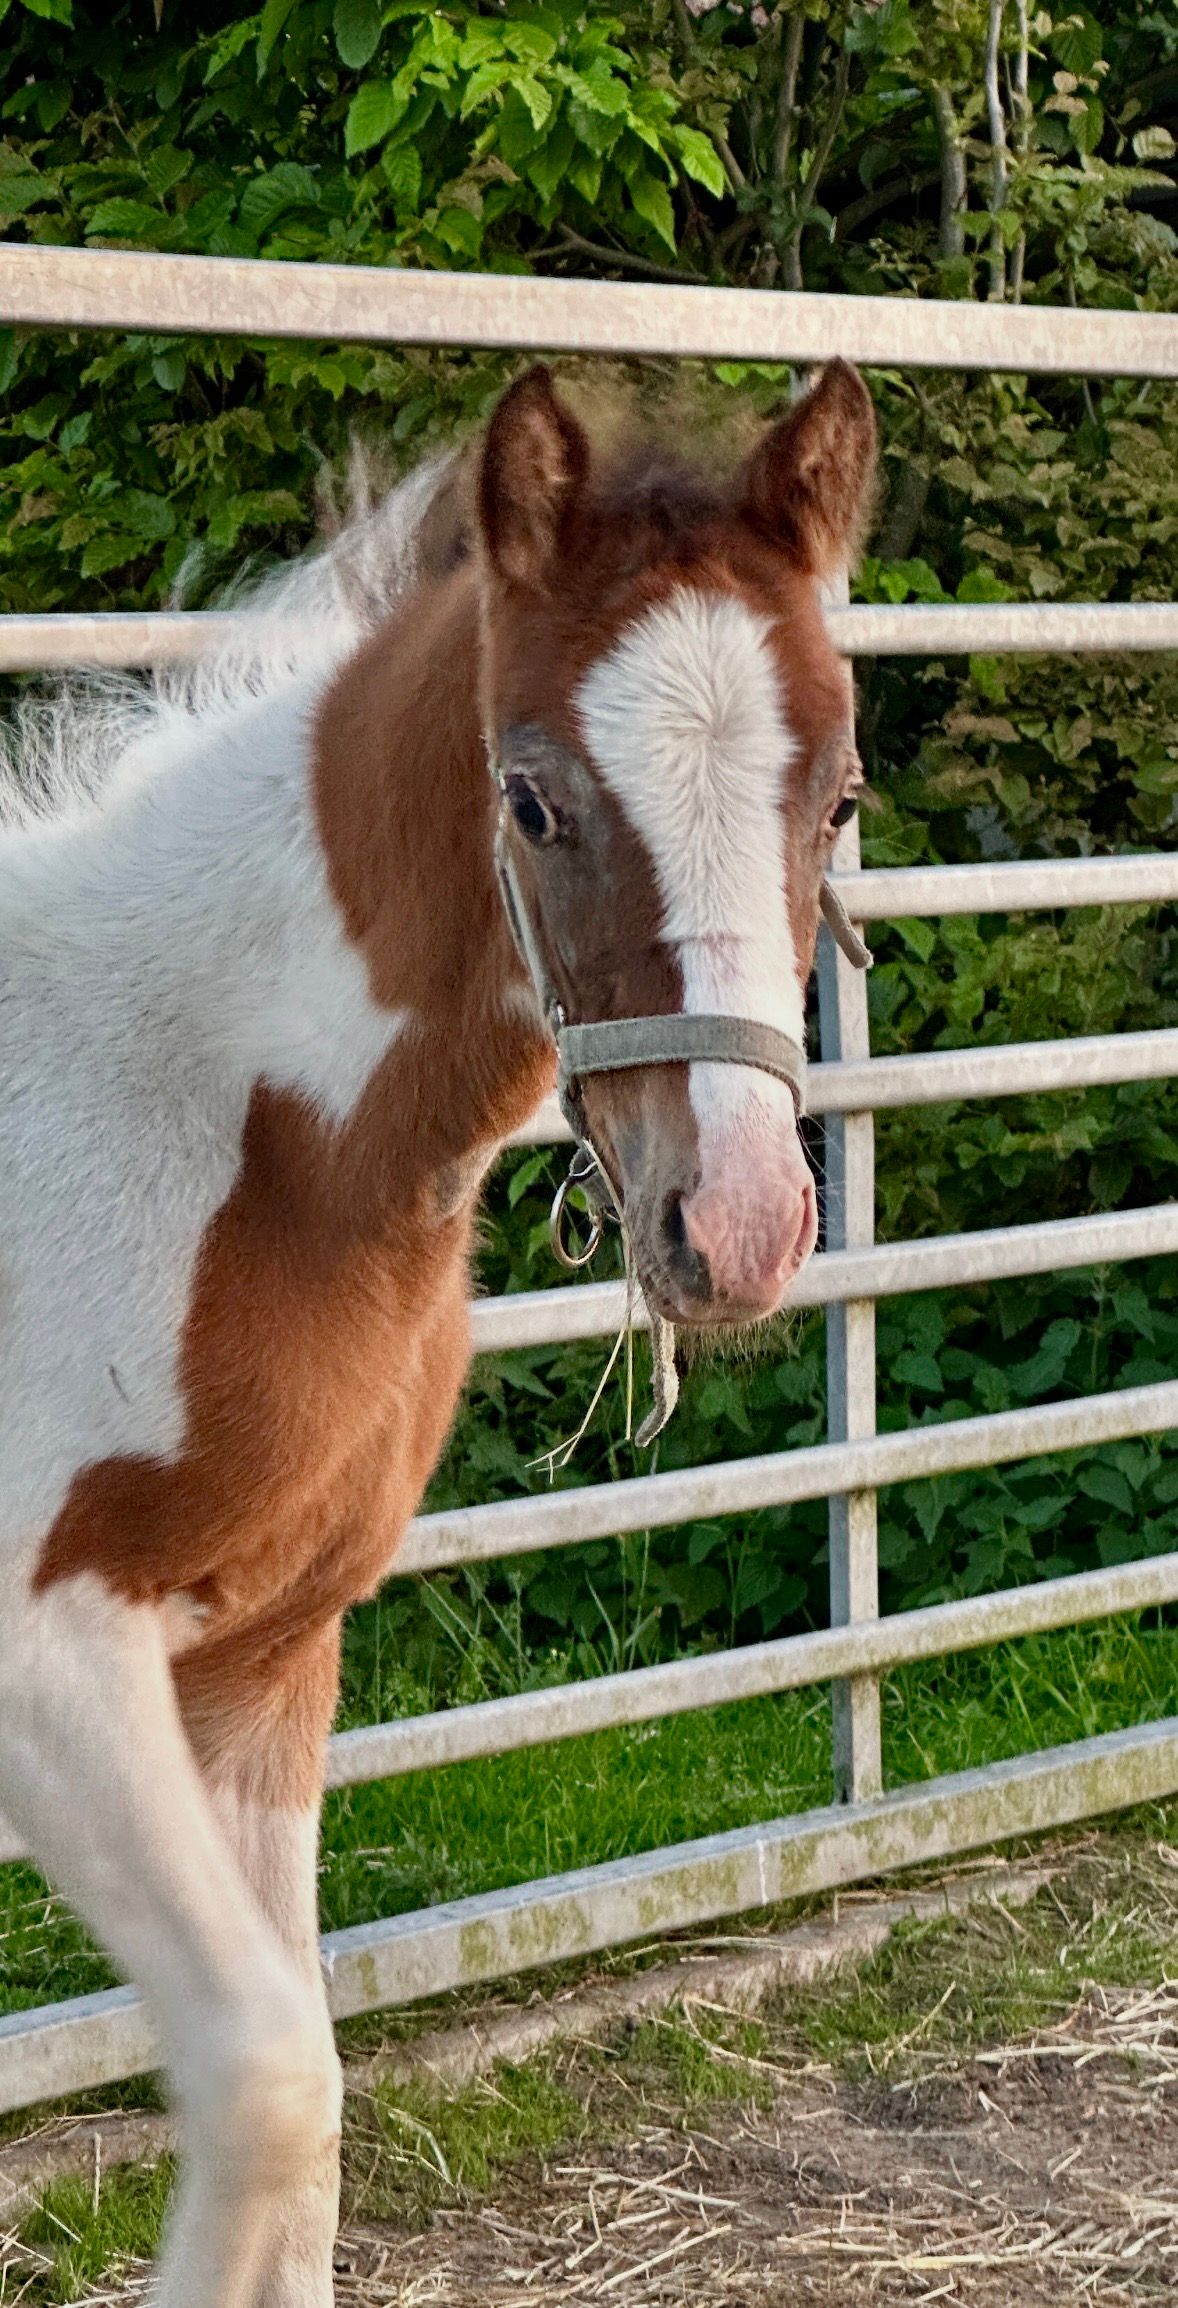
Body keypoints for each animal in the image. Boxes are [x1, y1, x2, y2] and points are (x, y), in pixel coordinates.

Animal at [0, 357, 875, 2306]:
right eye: (532, 800)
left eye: (842, 794)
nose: (738, 1225)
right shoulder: (45, 1654)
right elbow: (264, 2083)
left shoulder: (263, 1657)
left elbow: (308, 2099)